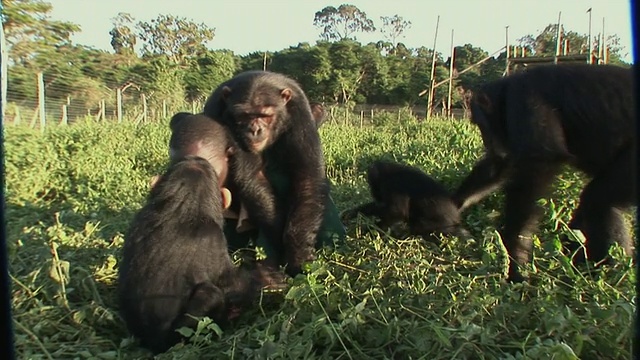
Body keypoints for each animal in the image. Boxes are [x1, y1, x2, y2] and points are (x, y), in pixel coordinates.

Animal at [117, 155, 258, 354]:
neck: (182, 209)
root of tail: (151, 344)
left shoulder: (138, 221)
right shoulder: (214, 238)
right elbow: (236, 285)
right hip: (177, 337)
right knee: (211, 293)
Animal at [204, 71, 336, 278]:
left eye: (265, 115)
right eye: (245, 115)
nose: (255, 129)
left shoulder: (299, 113)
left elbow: (307, 176)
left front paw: (298, 255)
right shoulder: (215, 109)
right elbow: (252, 175)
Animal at [340, 160, 470, 242]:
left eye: (373, 186)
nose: (375, 193)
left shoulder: (392, 186)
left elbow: (396, 212)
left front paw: (371, 229)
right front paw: (352, 213)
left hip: (441, 226)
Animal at [452, 64, 636, 284]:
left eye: (480, 123)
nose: (487, 139)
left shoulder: (525, 101)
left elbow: (539, 163)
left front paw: (516, 258)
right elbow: (501, 166)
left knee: (599, 200)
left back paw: (607, 275)